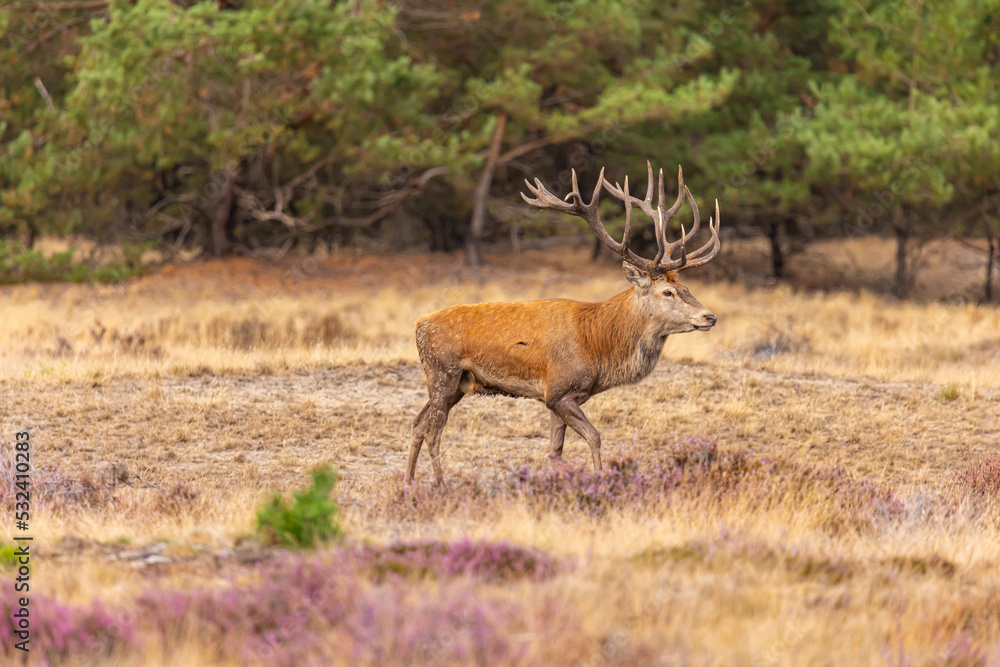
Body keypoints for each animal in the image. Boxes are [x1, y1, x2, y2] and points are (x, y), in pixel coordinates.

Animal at [408, 162, 721, 484]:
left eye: (686, 287)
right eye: (667, 292)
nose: (709, 316)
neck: (597, 348)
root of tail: (419, 324)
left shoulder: (561, 398)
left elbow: (555, 450)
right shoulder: (558, 391)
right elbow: (595, 436)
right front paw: (601, 479)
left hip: (457, 382)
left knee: (417, 423)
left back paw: (409, 483)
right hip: (443, 371)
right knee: (433, 430)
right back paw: (441, 485)